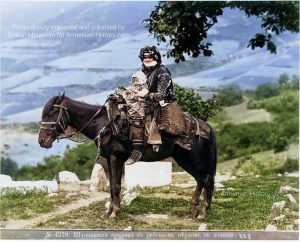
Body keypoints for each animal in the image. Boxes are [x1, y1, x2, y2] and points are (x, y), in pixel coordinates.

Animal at [38, 94, 217, 217]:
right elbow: (112, 185)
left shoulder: (115, 158)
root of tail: (206, 126)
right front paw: (110, 211)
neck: (105, 125)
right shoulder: (110, 160)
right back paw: (193, 209)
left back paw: (203, 211)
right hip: (184, 159)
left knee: (205, 179)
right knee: (201, 180)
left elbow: (116, 186)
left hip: (193, 158)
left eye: (52, 112)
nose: (41, 140)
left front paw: (115, 212)